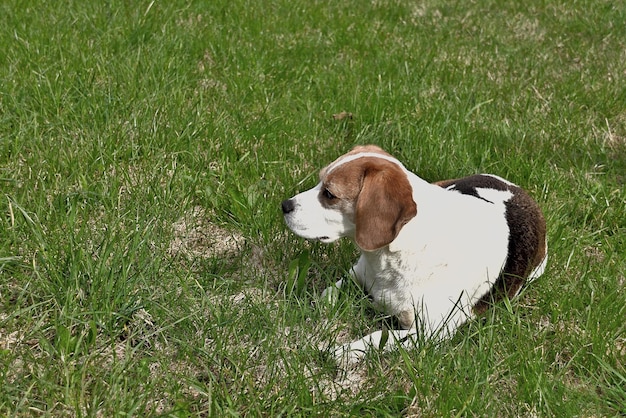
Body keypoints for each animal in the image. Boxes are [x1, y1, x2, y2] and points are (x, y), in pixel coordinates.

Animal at [280, 145, 544, 364]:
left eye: (329, 194)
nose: (284, 205)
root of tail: (517, 189)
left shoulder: (432, 332)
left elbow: (379, 335)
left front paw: (344, 351)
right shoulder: (357, 273)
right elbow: (327, 293)